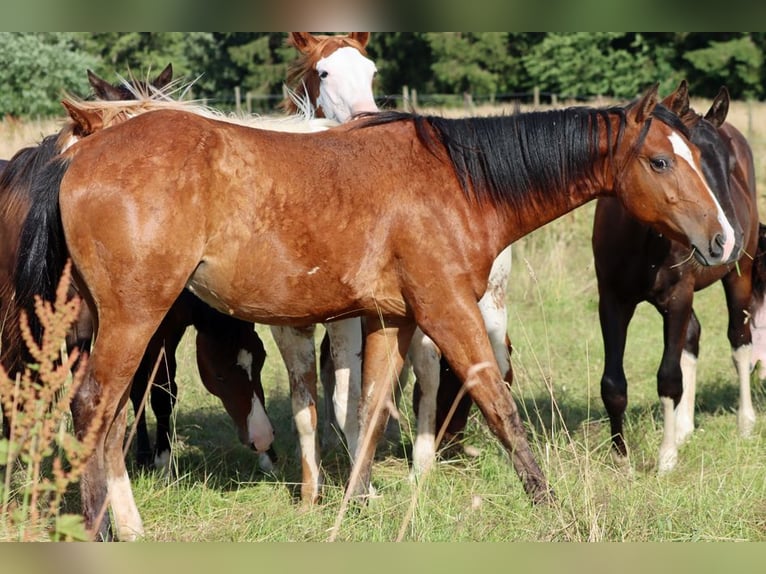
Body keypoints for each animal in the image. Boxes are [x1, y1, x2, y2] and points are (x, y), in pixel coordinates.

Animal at [14, 83, 742, 540]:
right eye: (659, 161)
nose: (723, 241)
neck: (457, 183)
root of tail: (79, 153)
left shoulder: (393, 318)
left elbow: (368, 412)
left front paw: (355, 503)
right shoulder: (447, 309)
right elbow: (496, 403)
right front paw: (550, 505)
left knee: (108, 420)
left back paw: (130, 525)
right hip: (136, 318)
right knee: (93, 408)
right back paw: (102, 532)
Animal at [592, 81, 763, 472]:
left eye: (726, 164)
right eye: (663, 162)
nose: (726, 238)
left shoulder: (678, 295)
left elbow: (669, 377)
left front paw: (666, 458)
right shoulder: (612, 300)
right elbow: (613, 382)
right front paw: (620, 457)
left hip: (739, 275)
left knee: (739, 339)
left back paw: (745, 422)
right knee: (693, 336)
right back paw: (685, 428)